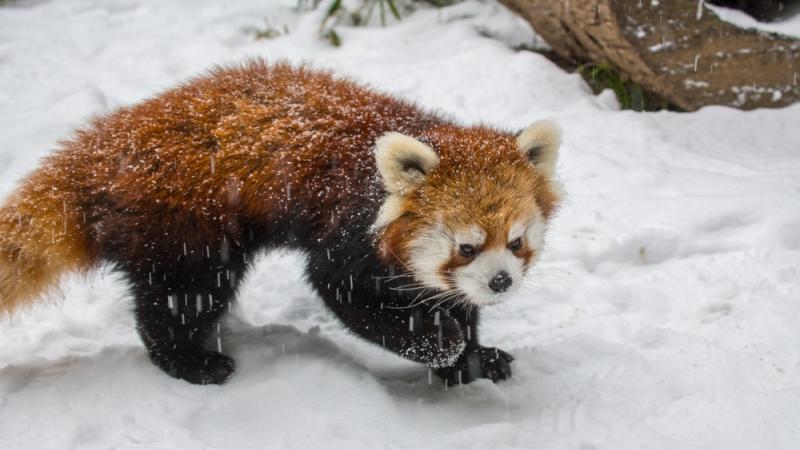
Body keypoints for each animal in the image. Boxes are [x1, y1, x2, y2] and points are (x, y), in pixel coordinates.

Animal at [0, 59, 564, 384]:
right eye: (466, 247)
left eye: (516, 242)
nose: (500, 282)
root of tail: (103, 148)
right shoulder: (348, 233)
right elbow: (345, 293)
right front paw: (440, 345)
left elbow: (450, 301)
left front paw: (472, 357)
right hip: (182, 219)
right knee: (184, 295)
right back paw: (190, 360)